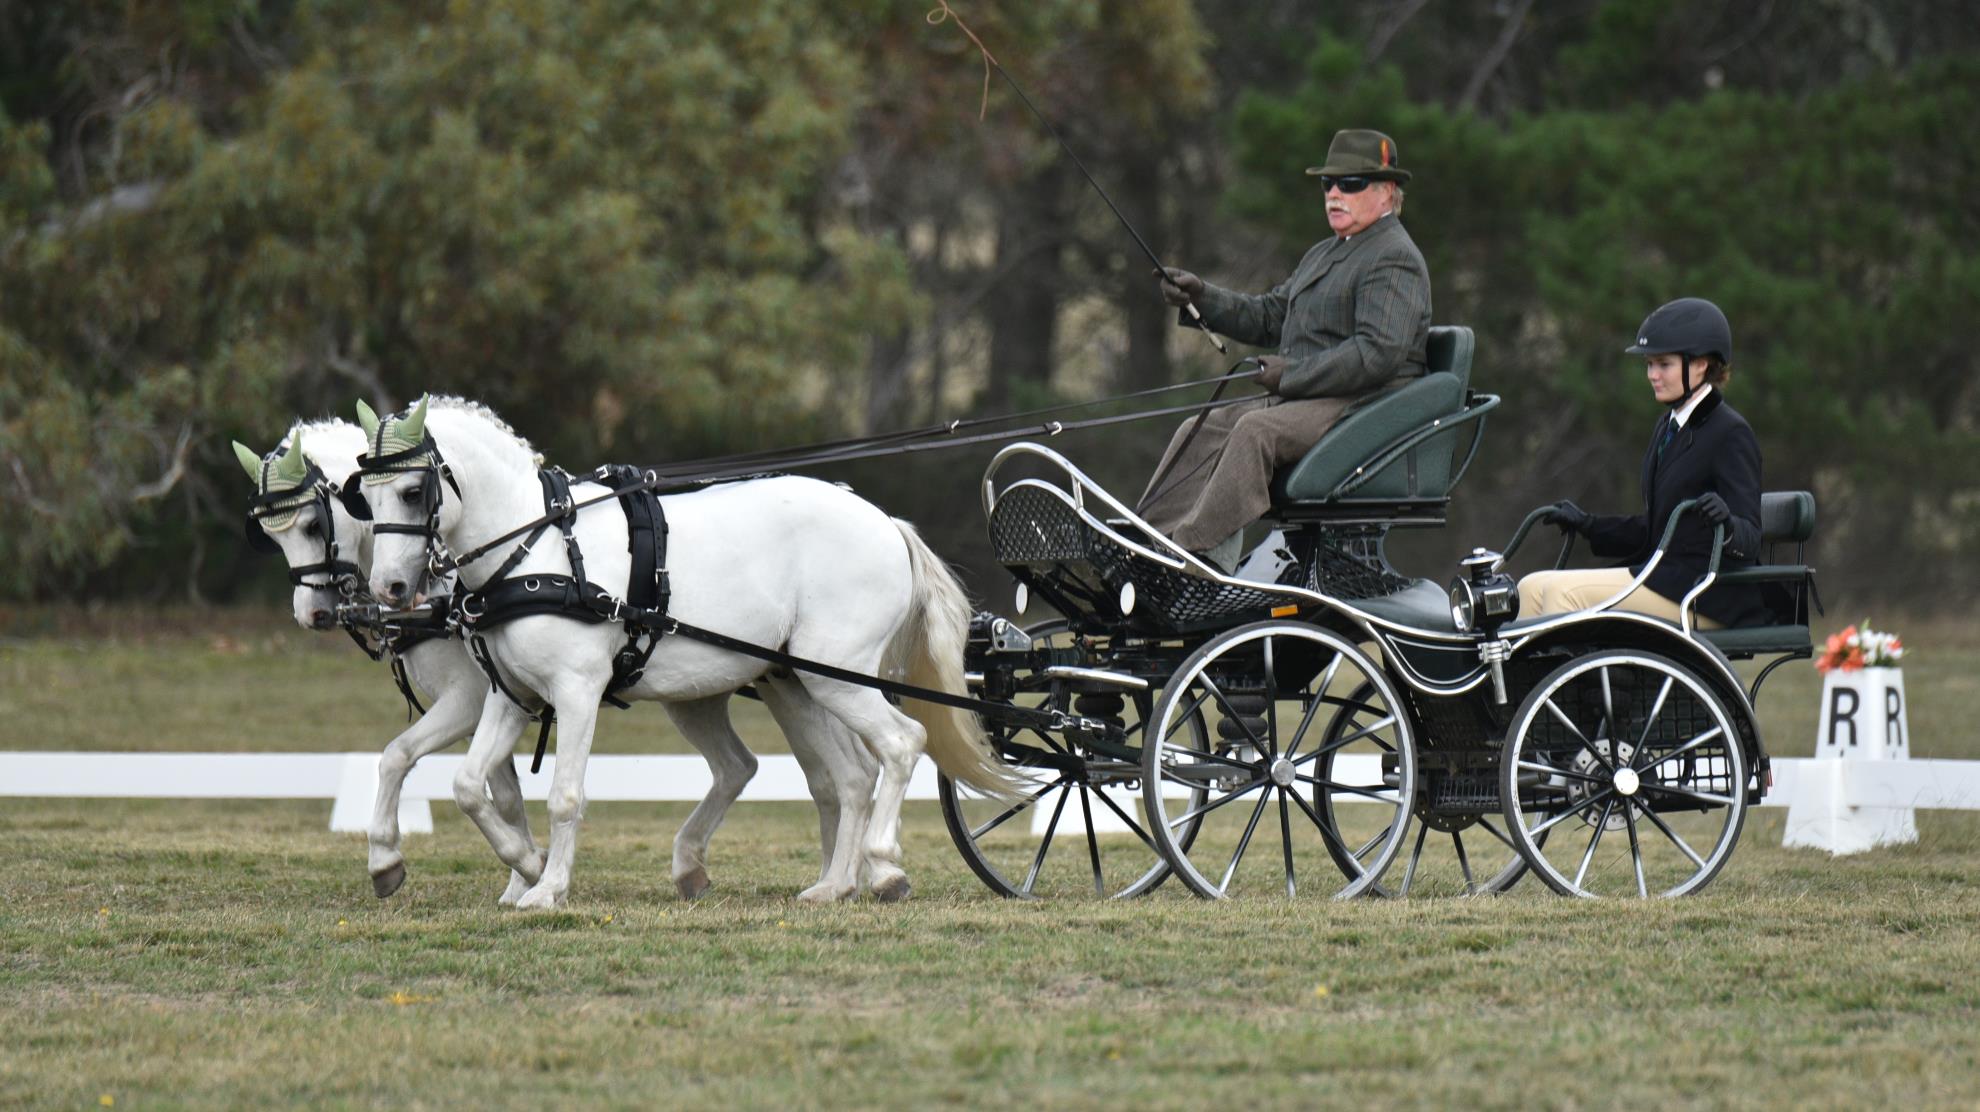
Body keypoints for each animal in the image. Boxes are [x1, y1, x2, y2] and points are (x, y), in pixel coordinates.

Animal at [350, 393, 1021, 906]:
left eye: (412, 491)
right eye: (365, 496)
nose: (390, 590)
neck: (535, 549)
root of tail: (887, 523)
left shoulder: (576, 691)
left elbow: (565, 795)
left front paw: (547, 888)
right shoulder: (509, 695)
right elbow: (466, 784)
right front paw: (526, 865)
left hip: (839, 676)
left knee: (903, 743)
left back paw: (884, 867)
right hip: (799, 683)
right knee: (850, 776)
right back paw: (832, 886)